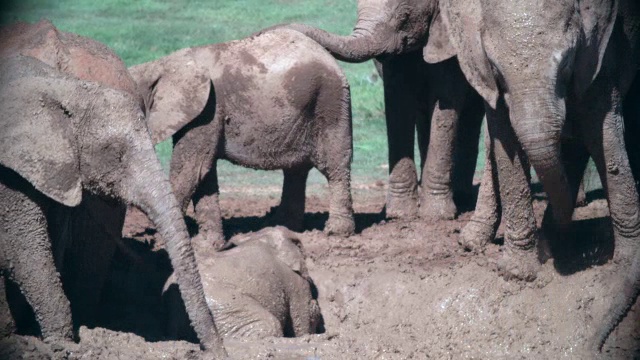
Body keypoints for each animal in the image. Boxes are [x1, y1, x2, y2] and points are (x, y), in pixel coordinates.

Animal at [0, 20, 226, 358]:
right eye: (115, 154)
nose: (217, 349)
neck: (63, 90)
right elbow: (25, 248)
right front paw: (57, 342)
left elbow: (27, 247)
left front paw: (59, 343)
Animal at [131, 28, 358, 250]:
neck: (160, 66)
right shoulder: (202, 114)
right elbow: (204, 173)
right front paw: (208, 246)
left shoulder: (208, 110)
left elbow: (190, 171)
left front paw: (160, 242)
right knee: (296, 171)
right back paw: (283, 227)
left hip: (330, 102)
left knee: (334, 166)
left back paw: (336, 234)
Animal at [262, 0, 484, 221]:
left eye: (404, 16)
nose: (273, 33)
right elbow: (398, 103)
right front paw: (399, 215)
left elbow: (446, 101)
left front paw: (437, 217)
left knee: (472, 114)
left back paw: (461, 197)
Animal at [424, 0, 640, 350]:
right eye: (497, 70)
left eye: (567, 63)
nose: (595, 343)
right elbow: (504, 139)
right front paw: (517, 273)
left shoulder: (598, 52)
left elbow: (604, 126)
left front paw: (624, 264)